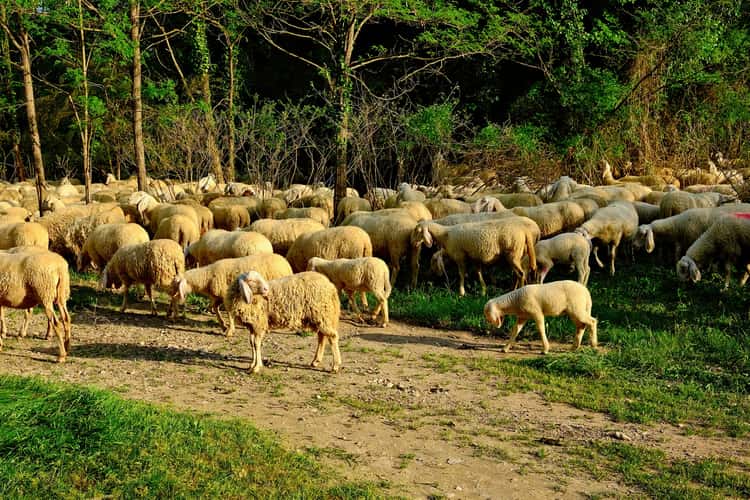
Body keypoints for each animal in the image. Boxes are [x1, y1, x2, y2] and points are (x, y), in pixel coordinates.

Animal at [411, 217, 540, 295]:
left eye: (417, 231)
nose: (412, 243)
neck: (445, 235)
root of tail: (524, 231)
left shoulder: (460, 257)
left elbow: (461, 275)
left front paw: (461, 292)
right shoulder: (474, 259)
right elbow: (479, 274)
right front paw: (483, 291)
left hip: (513, 254)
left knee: (521, 274)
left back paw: (519, 291)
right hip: (518, 255)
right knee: (518, 274)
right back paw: (512, 291)